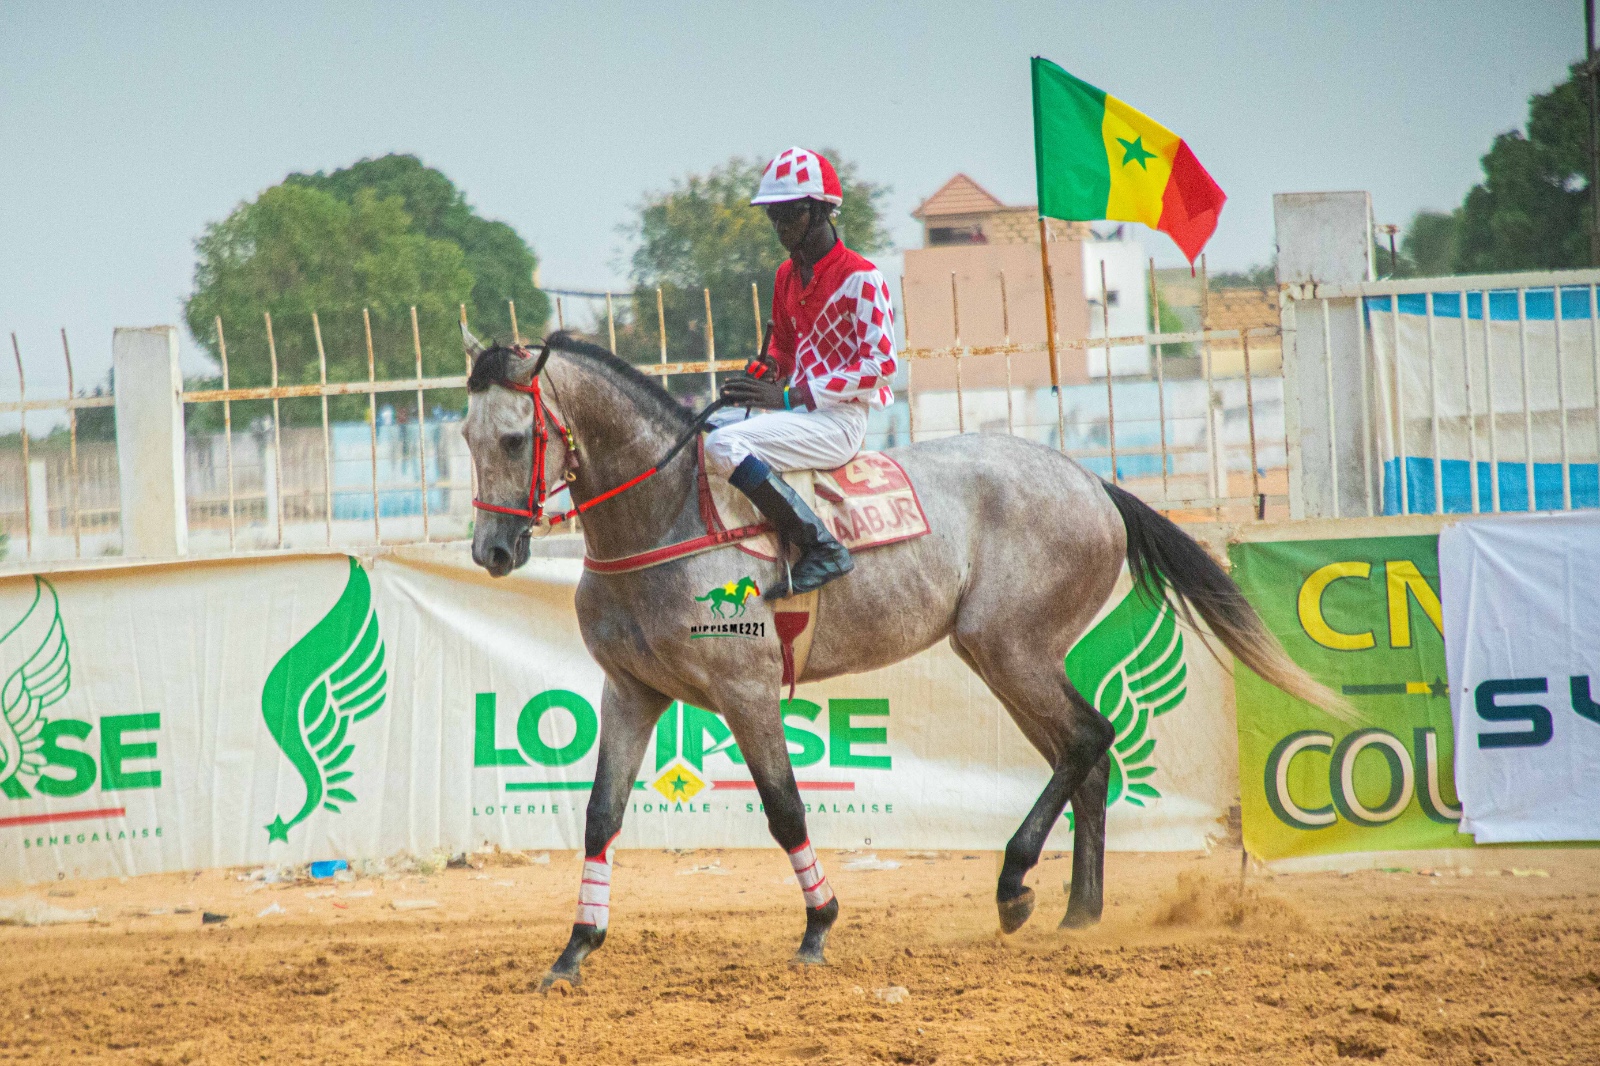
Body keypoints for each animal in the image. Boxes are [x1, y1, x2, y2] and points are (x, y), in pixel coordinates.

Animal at [459, 328, 1341, 991]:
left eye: (514, 437)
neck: (668, 512)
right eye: (466, 437)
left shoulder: (746, 692)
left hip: (1009, 649)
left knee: (1088, 739)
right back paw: (1075, 914)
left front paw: (818, 928)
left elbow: (785, 810)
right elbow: (600, 815)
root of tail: (1090, 480)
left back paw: (1015, 884)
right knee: (1083, 754)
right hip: (1003, 657)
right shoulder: (630, 692)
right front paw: (575, 949)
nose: (492, 551)